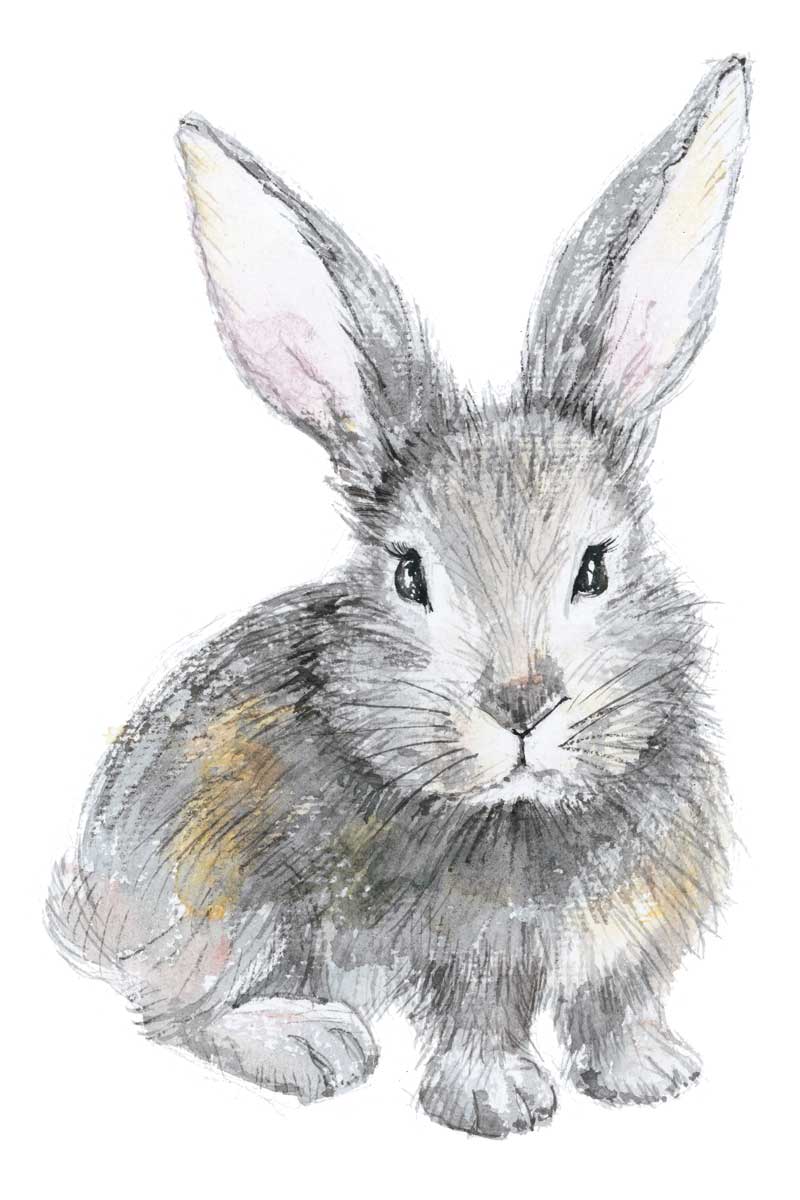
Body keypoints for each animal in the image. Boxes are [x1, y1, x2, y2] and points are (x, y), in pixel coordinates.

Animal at [47, 55, 749, 1138]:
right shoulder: (470, 961)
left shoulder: (633, 946)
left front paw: (651, 1077)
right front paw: (499, 1108)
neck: (527, 809)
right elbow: (482, 1023)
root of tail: (89, 904)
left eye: (594, 567)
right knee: (175, 1011)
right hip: (224, 911)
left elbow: (616, 1004)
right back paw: (310, 1044)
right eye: (408, 575)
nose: (521, 706)